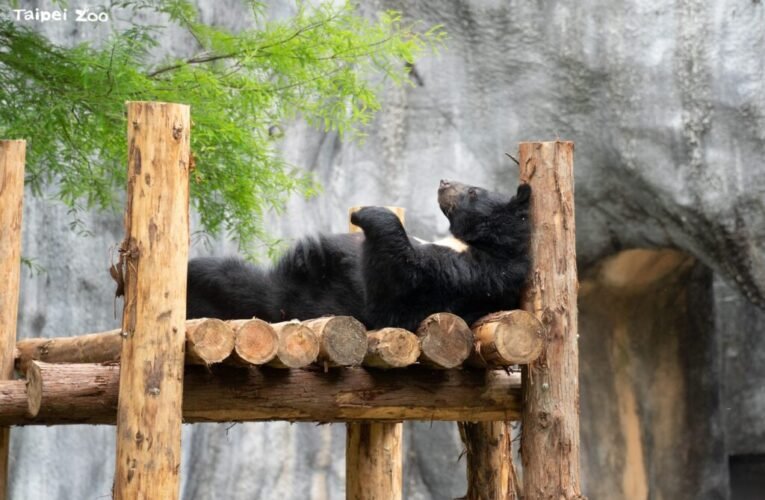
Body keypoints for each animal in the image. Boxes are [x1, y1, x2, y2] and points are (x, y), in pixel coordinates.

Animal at [186, 180, 531, 331]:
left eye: (473, 191)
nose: (444, 182)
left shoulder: (468, 276)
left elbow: (396, 289)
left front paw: (367, 213)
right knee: (214, 273)